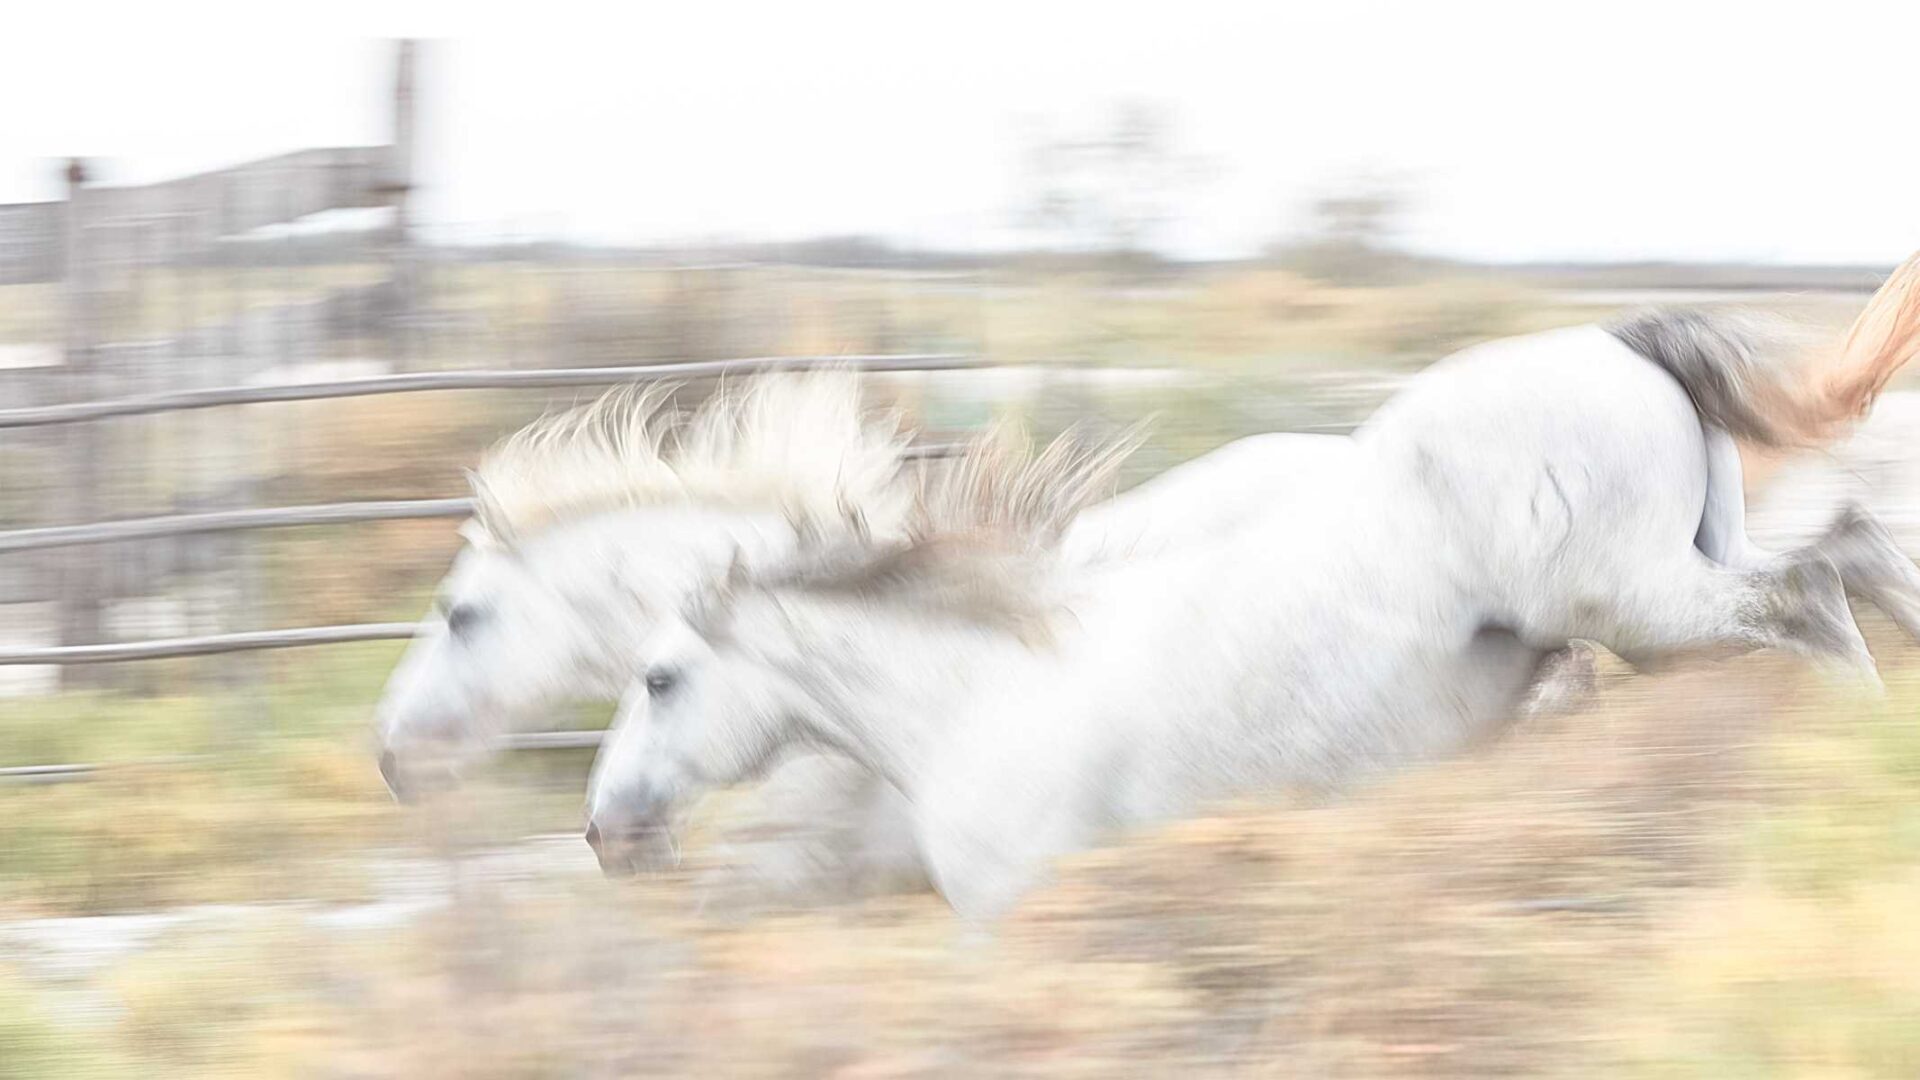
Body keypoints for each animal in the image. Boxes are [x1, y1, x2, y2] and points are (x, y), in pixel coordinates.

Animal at [583, 255, 1920, 910]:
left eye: (658, 679)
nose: (605, 834)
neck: (978, 696)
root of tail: (1612, 338)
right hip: (1678, 586)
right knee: (1847, 552)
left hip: (1636, 603)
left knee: (1812, 597)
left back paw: (1861, 769)